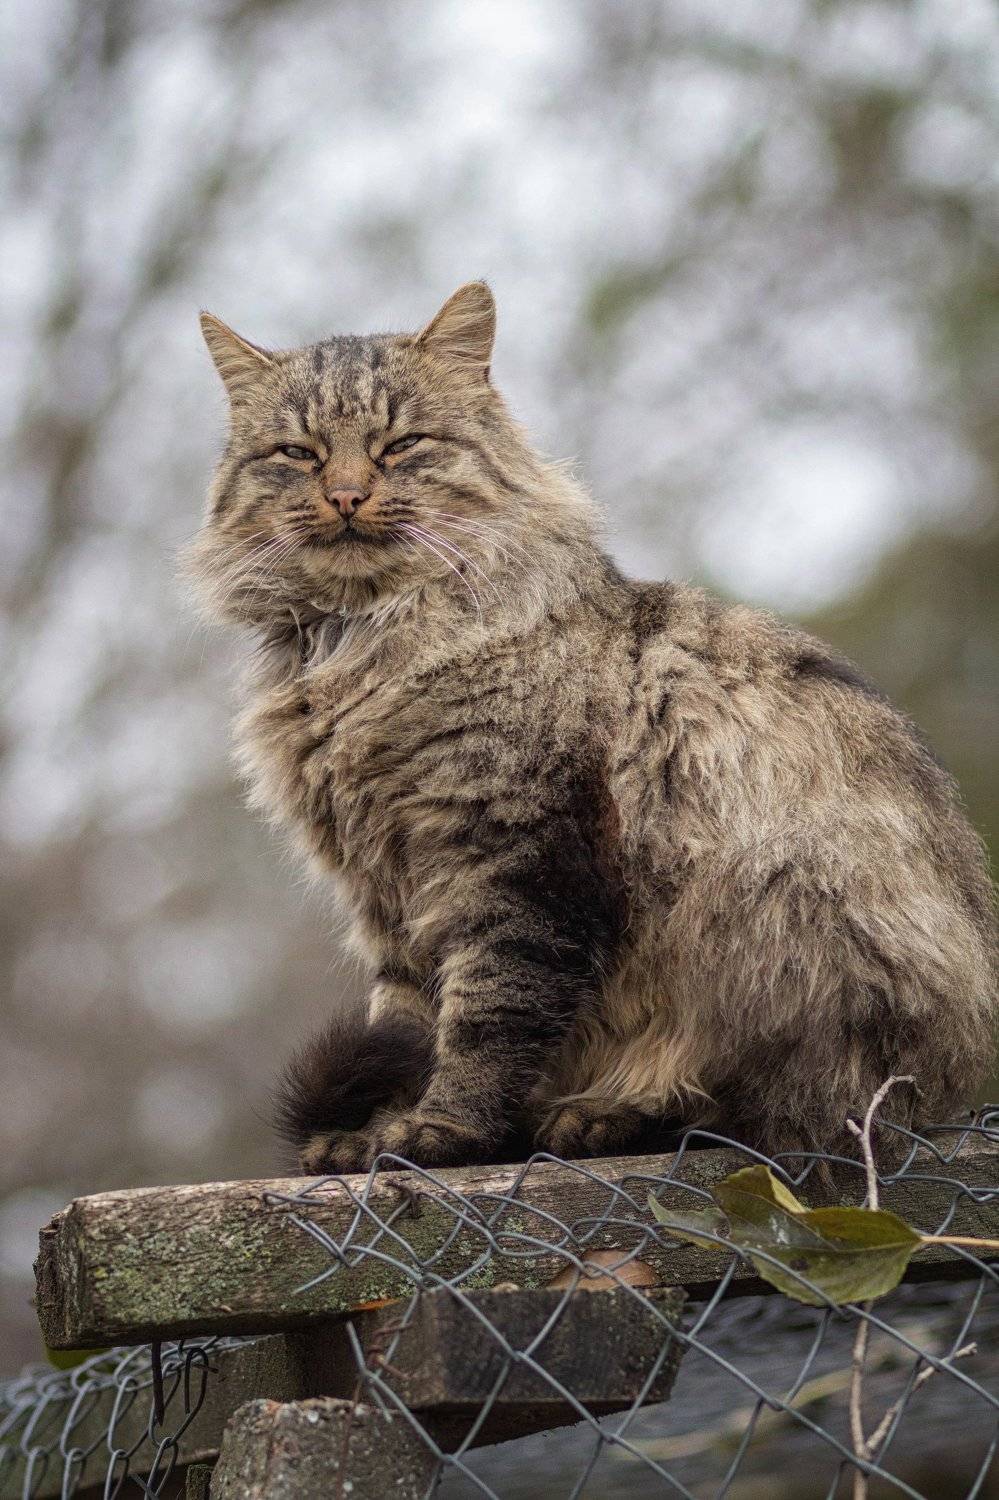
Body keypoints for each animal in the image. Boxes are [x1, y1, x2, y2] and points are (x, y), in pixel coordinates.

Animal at [187, 281, 996, 1172]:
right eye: (298, 454)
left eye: (401, 445)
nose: (345, 496)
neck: (360, 639)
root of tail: (952, 1084)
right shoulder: (386, 889)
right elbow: (405, 1017)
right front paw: (370, 1133)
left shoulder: (514, 854)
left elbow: (487, 1013)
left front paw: (439, 1131)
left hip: (780, 912)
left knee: (774, 1111)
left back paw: (609, 1115)